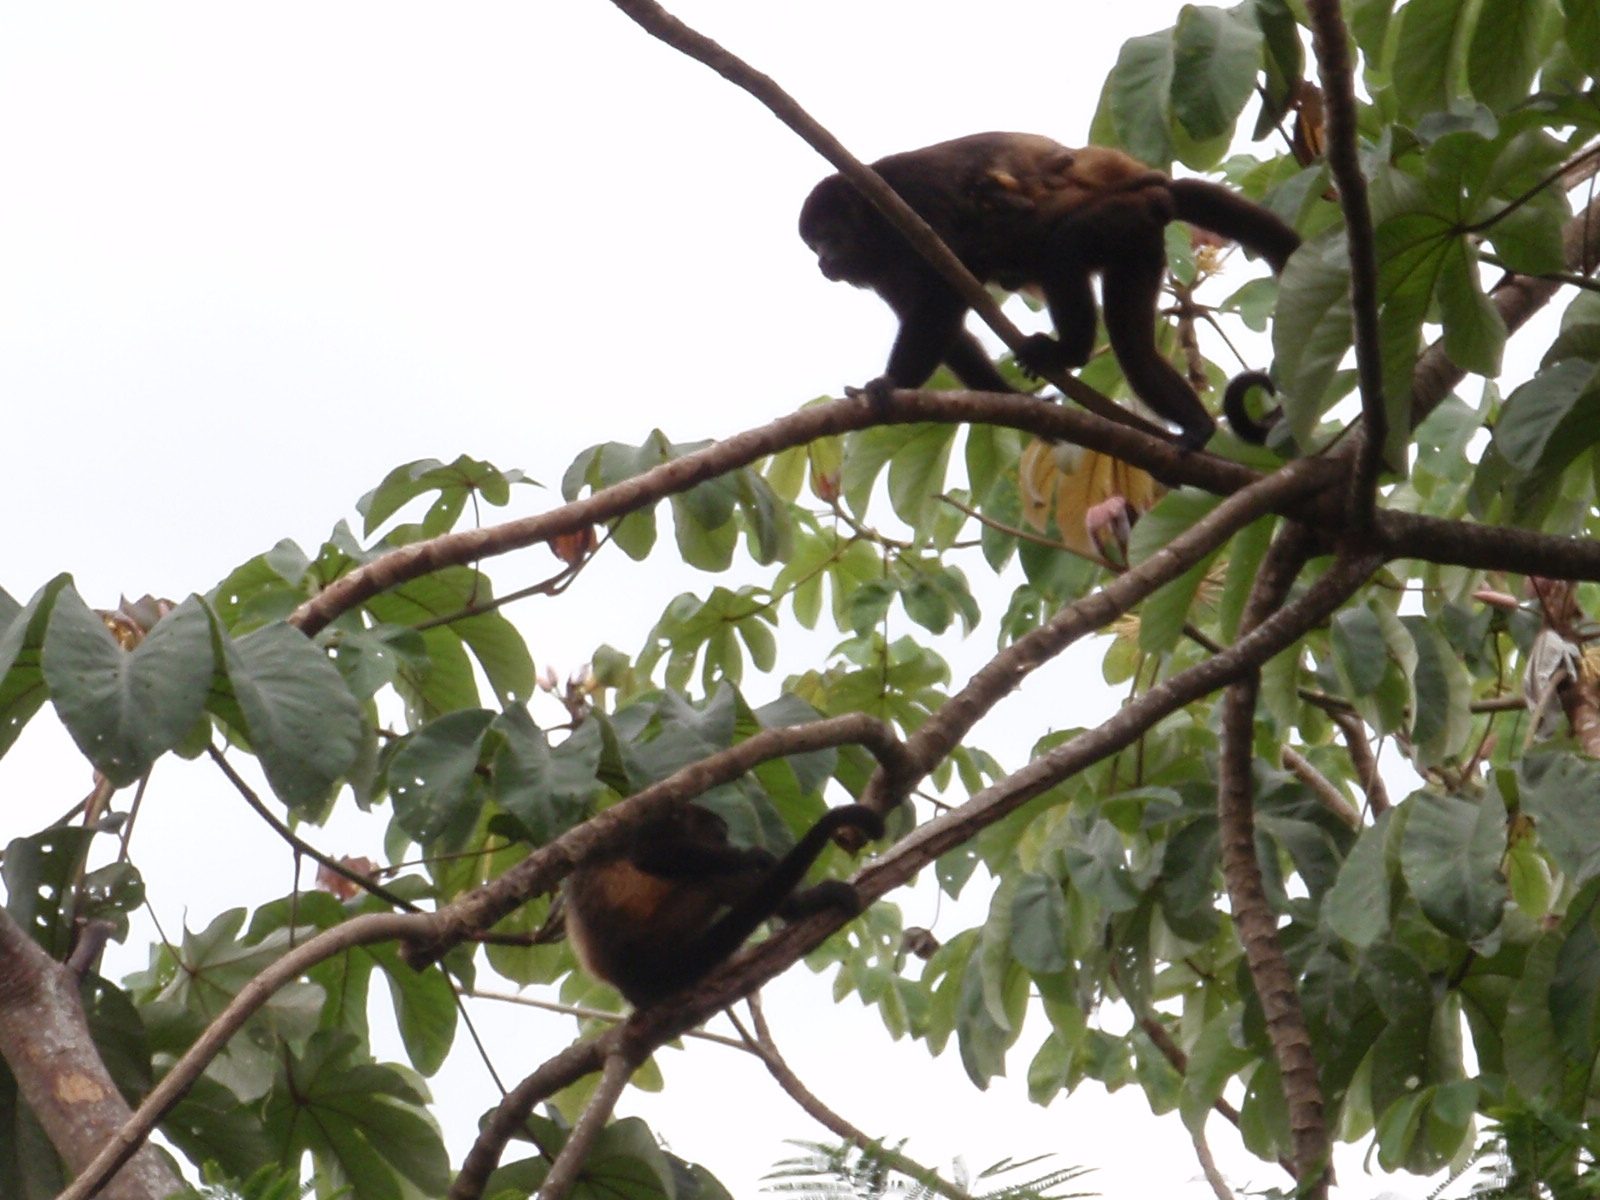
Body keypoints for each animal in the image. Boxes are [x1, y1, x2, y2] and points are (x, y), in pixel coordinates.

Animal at [563, 801, 884, 1007]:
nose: (729, 842)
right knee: (712, 879)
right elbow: (647, 853)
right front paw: (750, 855)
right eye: (719, 834)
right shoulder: (649, 821)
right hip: (654, 936)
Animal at [797, 133, 1301, 449]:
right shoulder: (882, 270)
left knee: (1064, 248)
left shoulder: (910, 199)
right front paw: (1011, 400)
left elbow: (943, 300)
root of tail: (1157, 194)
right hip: (1139, 244)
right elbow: (945, 330)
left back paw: (1069, 349)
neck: (876, 227)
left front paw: (889, 384)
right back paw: (1196, 427)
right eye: (813, 242)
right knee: (1133, 348)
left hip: (1119, 215)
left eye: (827, 234)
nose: (822, 261)